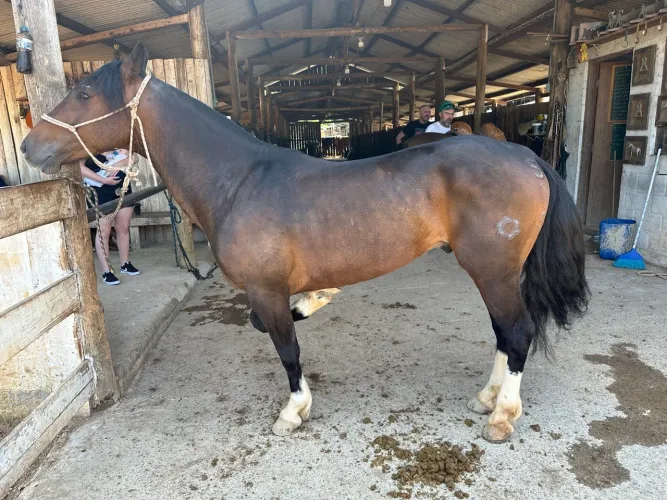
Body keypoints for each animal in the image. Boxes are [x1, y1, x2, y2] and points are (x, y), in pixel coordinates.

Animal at [21, 43, 589, 443]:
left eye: (86, 93)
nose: (29, 146)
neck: (240, 180)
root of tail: (526, 157)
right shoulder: (268, 292)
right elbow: (279, 325)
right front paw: (318, 299)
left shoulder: (265, 289)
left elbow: (286, 348)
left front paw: (294, 411)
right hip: (494, 273)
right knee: (505, 333)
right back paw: (487, 398)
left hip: (492, 270)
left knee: (517, 331)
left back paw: (502, 416)